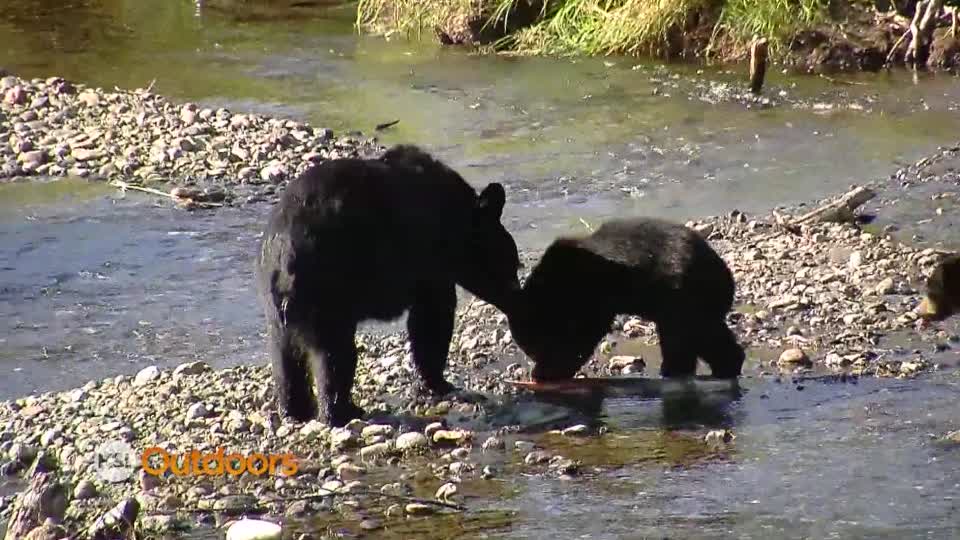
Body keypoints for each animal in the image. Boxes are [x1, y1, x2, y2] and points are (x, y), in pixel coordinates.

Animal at [254, 144, 521, 427]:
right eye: (511, 264)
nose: (518, 299)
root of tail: (283, 255)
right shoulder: (428, 263)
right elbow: (431, 319)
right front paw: (438, 381)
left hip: (277, 309)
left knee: (284, 359)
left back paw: (295, 411)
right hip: (327, 288)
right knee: (334, 355)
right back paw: (342, 412)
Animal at [506, 217, 745, 382]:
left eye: (537, 345)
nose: (535, 359)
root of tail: (726, 277)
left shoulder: (588, 293)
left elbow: (583, 333)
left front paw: (549, 370)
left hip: (684, 298)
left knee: (689, 336)